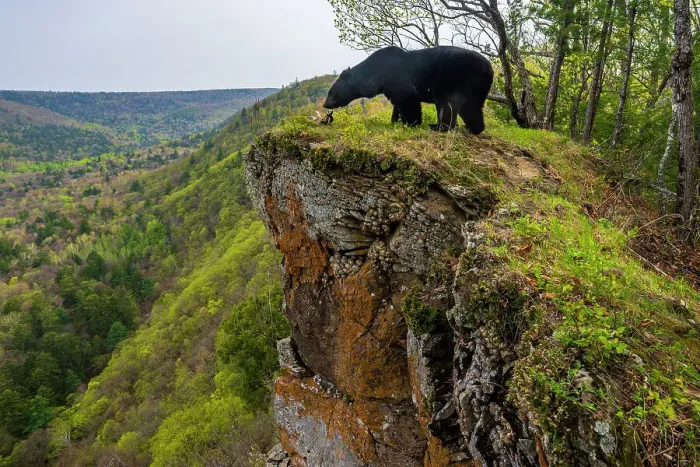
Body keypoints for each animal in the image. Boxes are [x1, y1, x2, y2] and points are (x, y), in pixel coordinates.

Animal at [323, 45, 493, 134]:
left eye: (331, 93)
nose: (325, 104)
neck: (376, 74)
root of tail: (489, 67)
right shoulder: (389, 86)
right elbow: (396, 103)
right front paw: (396, 120)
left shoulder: (397, 77)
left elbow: (407, 99)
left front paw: (412, 122)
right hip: (476, 87)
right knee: (472, 108)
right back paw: (473, 128)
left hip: (453, 79)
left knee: (446, 103)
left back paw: (438, 127)